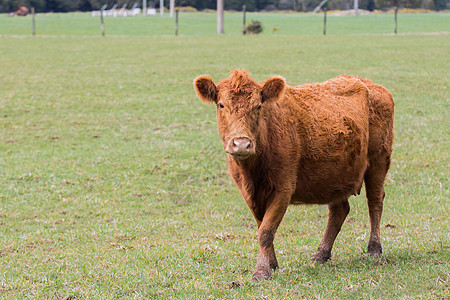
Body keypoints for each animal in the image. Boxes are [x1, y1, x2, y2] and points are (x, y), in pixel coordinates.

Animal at [193, 69, 394, 280]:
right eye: (222, 104)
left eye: (258, 105)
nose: (241, 143)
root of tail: (372, 86)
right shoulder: (250, 194)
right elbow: (262, 226)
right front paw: (272, 263)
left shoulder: (283, 189)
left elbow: (266, 231)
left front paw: (262, 270)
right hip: (338, 175)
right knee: (339, 211)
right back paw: (321, 254)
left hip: (378, 162)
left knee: (375, 202)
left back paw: (374, 248)